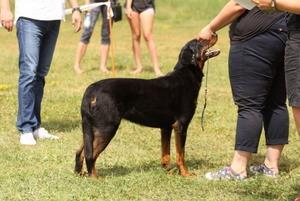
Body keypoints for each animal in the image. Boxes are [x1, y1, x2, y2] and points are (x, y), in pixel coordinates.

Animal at [74, 38, 220, 177]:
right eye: (200, 41)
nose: (214, 34)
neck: (186, 74)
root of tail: (91, 89)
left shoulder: (166, 127)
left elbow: (166, 153)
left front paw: (168, 171)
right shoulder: (181, 125)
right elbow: (181, 154)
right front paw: (185, 174)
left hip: (92, 128)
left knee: (80, 151)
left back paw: (79, 174)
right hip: (106, 127)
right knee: (90, 154)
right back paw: (95, 177)